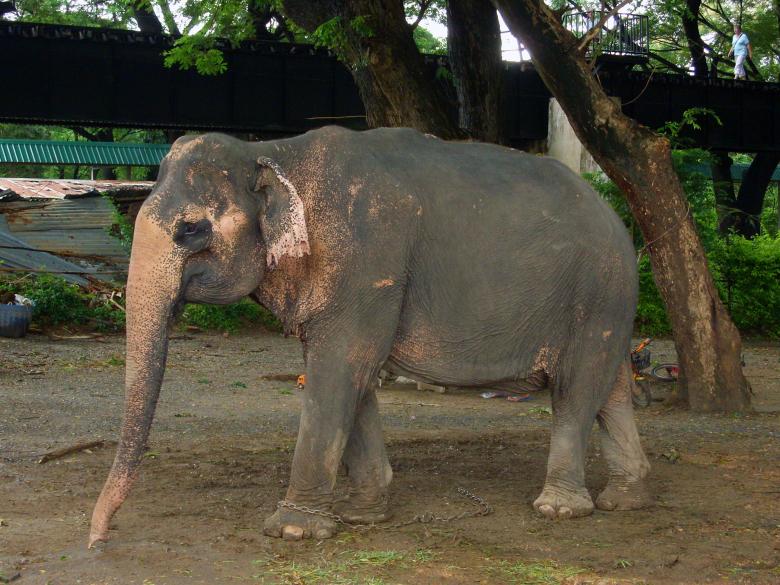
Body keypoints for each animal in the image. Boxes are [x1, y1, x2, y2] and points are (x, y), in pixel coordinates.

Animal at [89, 126, 651, 547]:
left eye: (191, 230)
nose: (98, 540)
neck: (272, 151)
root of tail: (614, 216)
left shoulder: (366, 261)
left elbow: (341, 367)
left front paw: (292, 530)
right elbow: (351, 375)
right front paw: (362, 515)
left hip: (598, 292)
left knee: (576, 391)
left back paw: (560, 508)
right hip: (609, 299)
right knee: (613, 388)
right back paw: (625, 498)